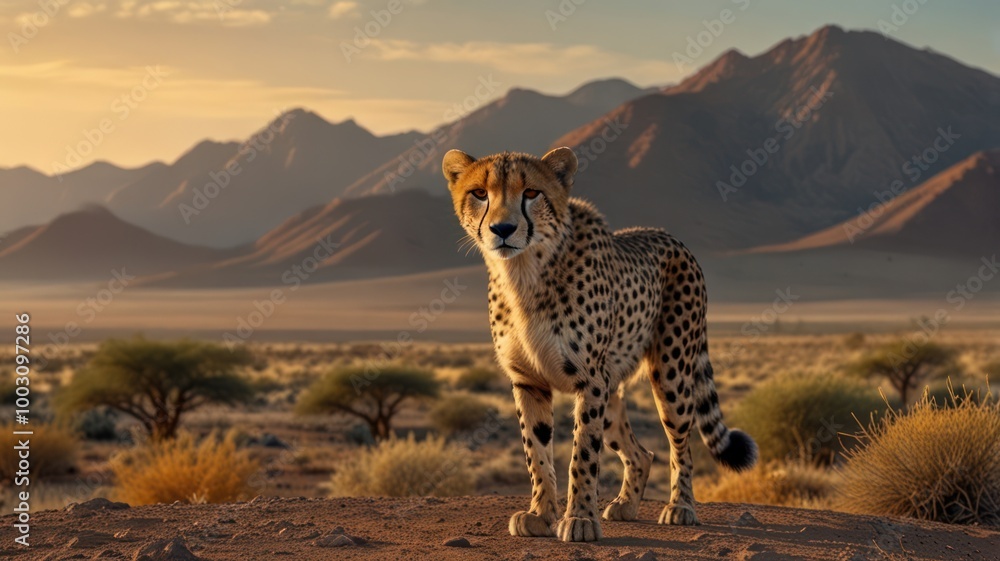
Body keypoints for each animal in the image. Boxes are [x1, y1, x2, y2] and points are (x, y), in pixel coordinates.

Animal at [442, 147, 757, 542]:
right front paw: (541, 514)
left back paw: (681, 507)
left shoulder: (589, 382)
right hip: (613, 390)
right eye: (480, 193)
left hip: (671, 375)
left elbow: (583, 454)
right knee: (642, 453)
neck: (525, 273)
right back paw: (626, 505)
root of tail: (668, 235)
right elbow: (536, 452)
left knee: (680, 447)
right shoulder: (529, 381)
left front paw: (579, 519)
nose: (503, 229)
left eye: (531, 193)